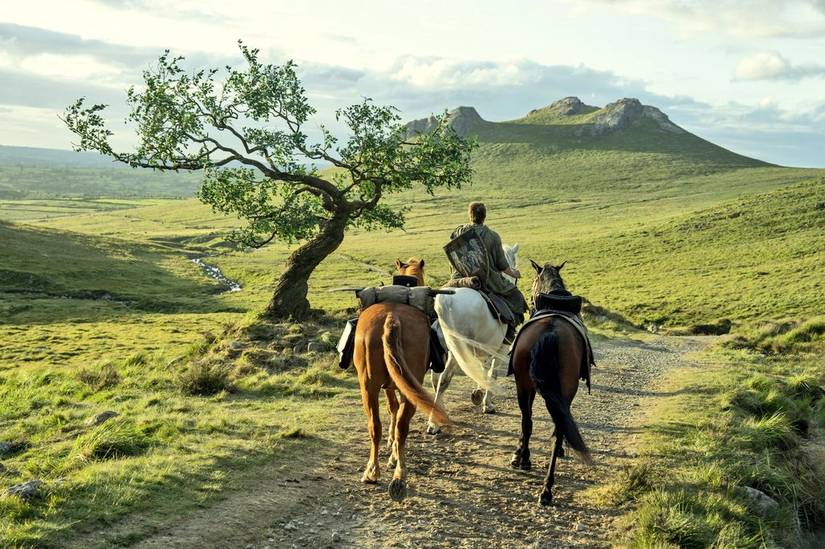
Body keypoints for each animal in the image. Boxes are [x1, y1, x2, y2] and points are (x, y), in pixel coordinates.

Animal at [353, 258, 451, 501]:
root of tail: (392, 317)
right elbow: (394, 411)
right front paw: (394, 453)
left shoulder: (387, 385)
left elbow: (391, 409)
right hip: (408, 387)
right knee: (401, 427)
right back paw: (399, 475)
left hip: (368, 387)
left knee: (375, 426)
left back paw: (372, 471)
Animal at [425, 244, 520, 435]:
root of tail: (446, 300)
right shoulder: (500, 349)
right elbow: (492, 373)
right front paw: (486, 403)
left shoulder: (484, 349)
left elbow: (482, 371)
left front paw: (479, 394)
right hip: (457, 351)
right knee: (444, 378)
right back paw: (435, 422)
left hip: (445, 351)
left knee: (436, 379)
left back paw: (438, 416)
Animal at [510, 260, 591, 506]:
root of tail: (550, 331)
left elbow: (527, 422)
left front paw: (519, 454)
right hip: (555, 389)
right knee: (556, 429)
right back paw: (546, 487)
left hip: (524, 385)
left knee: (529, 422)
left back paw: (534, 472)